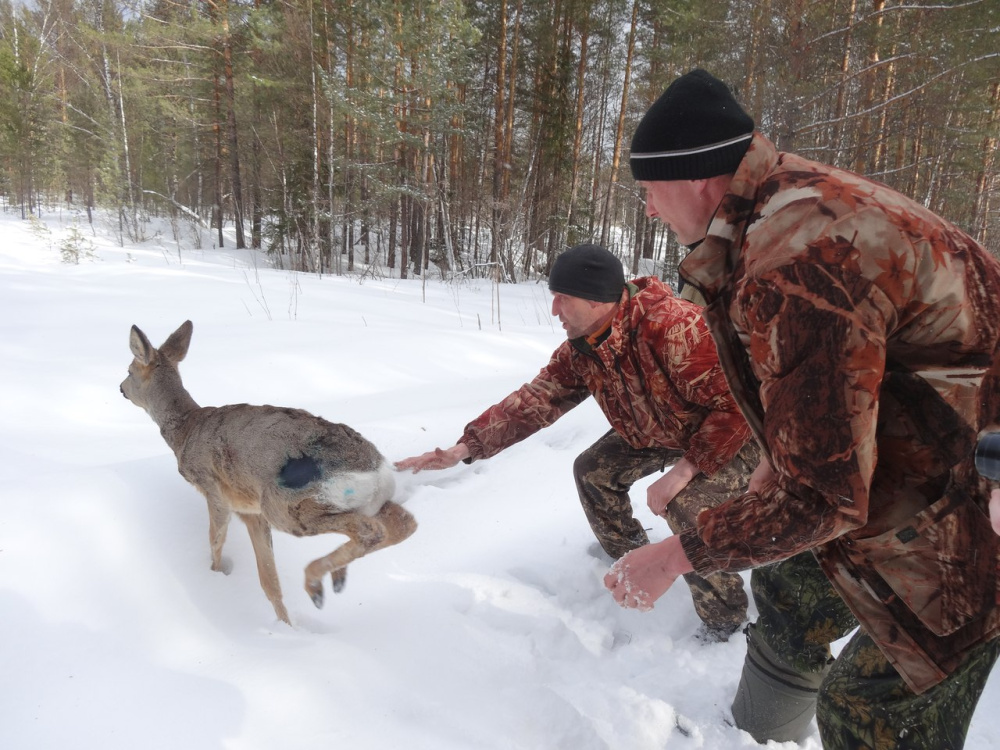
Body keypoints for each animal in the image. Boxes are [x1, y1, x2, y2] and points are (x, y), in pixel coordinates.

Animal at [120, 320, 416, 625]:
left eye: (129, 370)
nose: (120, 388)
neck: (185, 430)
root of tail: (376, 470)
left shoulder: (213, 489)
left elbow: (216, 540)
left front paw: (214, 577)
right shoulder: (251, 512)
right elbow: (269, 578)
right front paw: (286, 625)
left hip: (288, 506)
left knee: (370, 529)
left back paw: (314, 582)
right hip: (358, 503)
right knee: (404, 523)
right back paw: (334, 577)